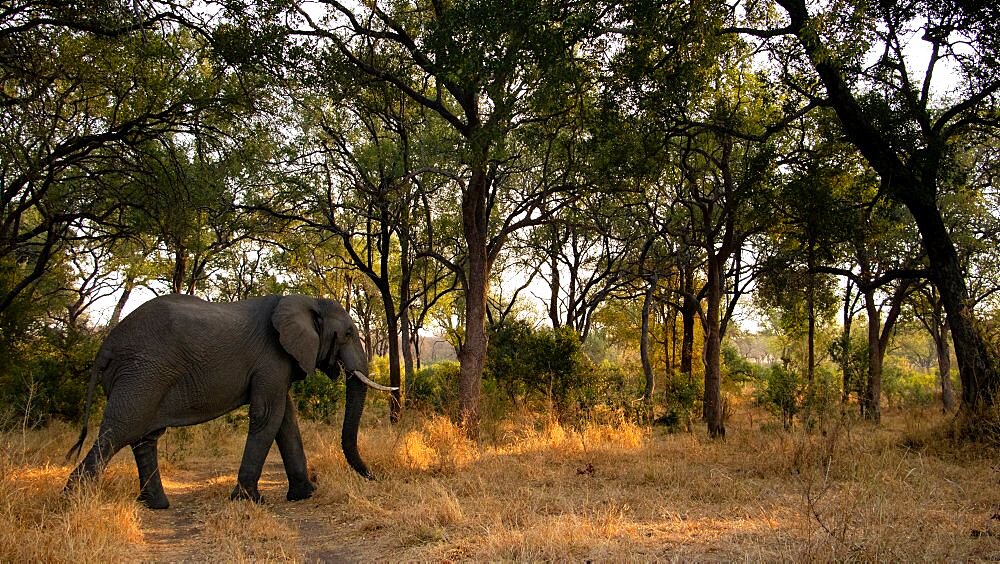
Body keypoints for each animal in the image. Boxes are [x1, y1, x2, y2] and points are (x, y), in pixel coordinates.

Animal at [63, 294, 394, 508]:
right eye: (348, 333)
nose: (375, 477)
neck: (307, 300)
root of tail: (105, 346)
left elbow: (286, 420)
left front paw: (305, 494)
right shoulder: (271, 357)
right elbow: (268, 416)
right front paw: (250, 501)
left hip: (142, 375)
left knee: (144, 437)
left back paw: (156, 505)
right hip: (143, 372)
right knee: (120, 430)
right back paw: (73, 502)